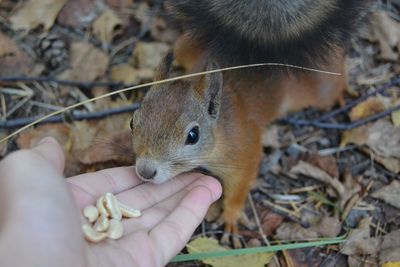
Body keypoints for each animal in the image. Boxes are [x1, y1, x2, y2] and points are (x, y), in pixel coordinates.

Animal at [129, 0, 368, 248]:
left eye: (193, 136)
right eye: (132, 122)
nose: (145, 171)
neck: (221, 130)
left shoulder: (245, 153)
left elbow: (239, 188)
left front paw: (231, 219)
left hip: (320, 87)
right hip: (189, 43)